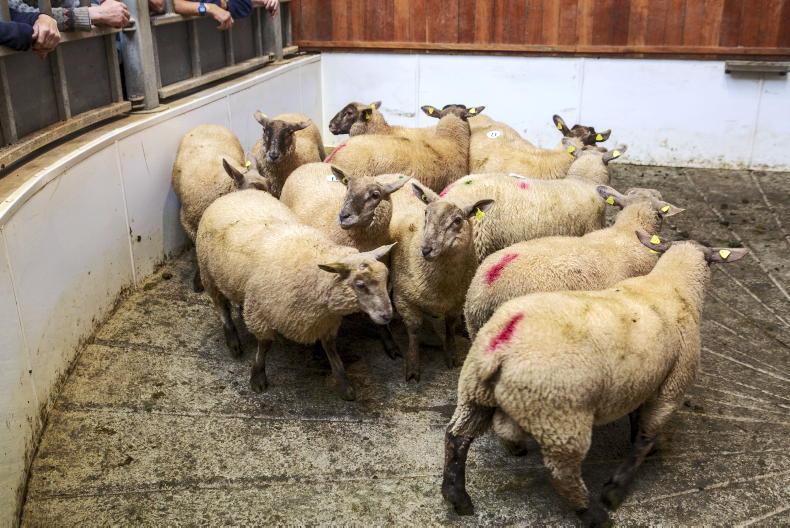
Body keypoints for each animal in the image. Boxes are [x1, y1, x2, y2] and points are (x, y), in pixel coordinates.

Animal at [196, 189, 396, 401]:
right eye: (360, 285)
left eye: (386, 278)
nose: (387, 315)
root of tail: (238, 192)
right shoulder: (260, 313)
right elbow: (264, 345)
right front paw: (257, 377)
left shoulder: (326, 323)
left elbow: (331, 350)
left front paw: (345, 384)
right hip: (208, 273)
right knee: (221, 307)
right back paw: (233, 341)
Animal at [383, 182, 494, 381]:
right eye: (426, 213)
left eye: (457, 220)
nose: (426, 249)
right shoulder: (404, 298)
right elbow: (414, 330)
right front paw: (413, 367)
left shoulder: (457, 301)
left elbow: (449, 326)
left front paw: (452, 355)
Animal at [442, 233, 748, 526]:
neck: (671, 286)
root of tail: (501, 345)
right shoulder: (672, 387)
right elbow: (645, 437)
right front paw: (616, 489)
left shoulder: (643, 379)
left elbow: (637, 420)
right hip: (561, 417)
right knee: (562, 474)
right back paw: (593, 514)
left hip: (475, 392)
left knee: (457, 437)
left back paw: (458, 497)